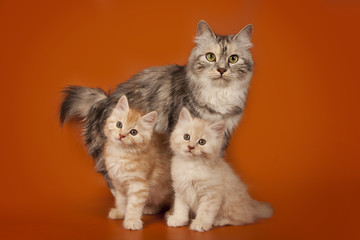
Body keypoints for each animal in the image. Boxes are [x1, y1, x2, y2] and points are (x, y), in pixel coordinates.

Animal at [59, 20, 253, 189]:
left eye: (233, 59)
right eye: (211, 57)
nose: (221, 70)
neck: (219, 94)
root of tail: (102, 101)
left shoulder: (221, 136)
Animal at [103, 94, 172, 230]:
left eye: (133, 132)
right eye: (119, 124)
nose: (121, 135)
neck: (120, 154)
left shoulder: (139, 185)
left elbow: (133, 205)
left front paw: (132, 220)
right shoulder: (119, 183)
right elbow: (121, 200)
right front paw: (120, 212)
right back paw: (151, 208)